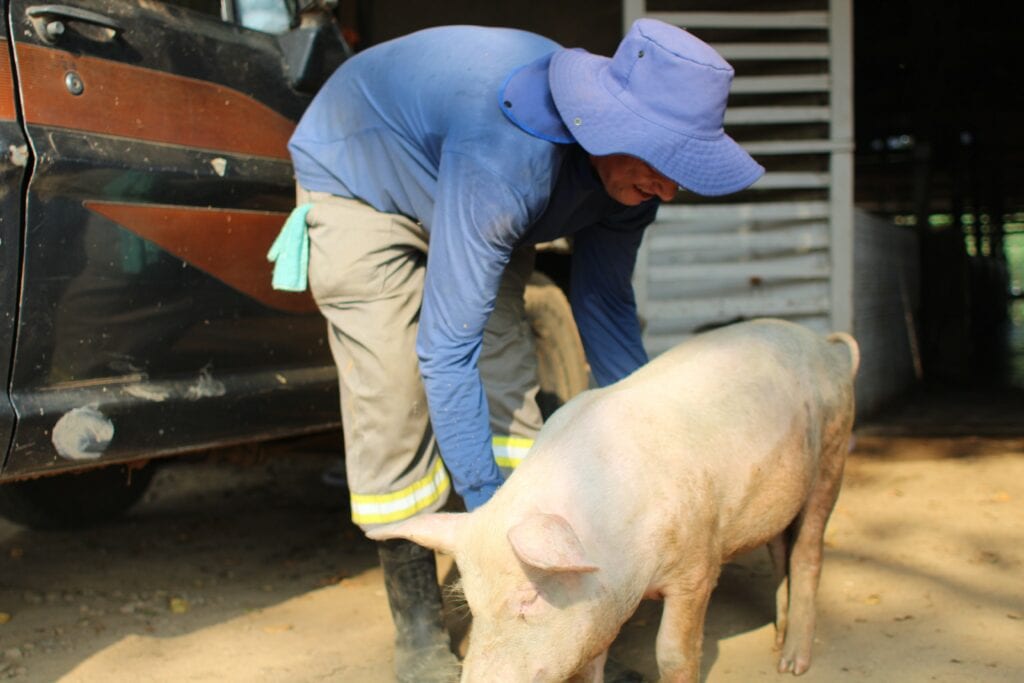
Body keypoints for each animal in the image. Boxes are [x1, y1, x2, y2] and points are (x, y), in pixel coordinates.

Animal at [372, 321, 860, 683]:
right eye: (471, 604)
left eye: (530, 599)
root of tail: (826, 346)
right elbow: (590, 665)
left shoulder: (698, 565)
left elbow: (673, 653)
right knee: (781, 549)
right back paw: (777, 640)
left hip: (834, 448)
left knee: (808, 551)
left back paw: (792, 664)